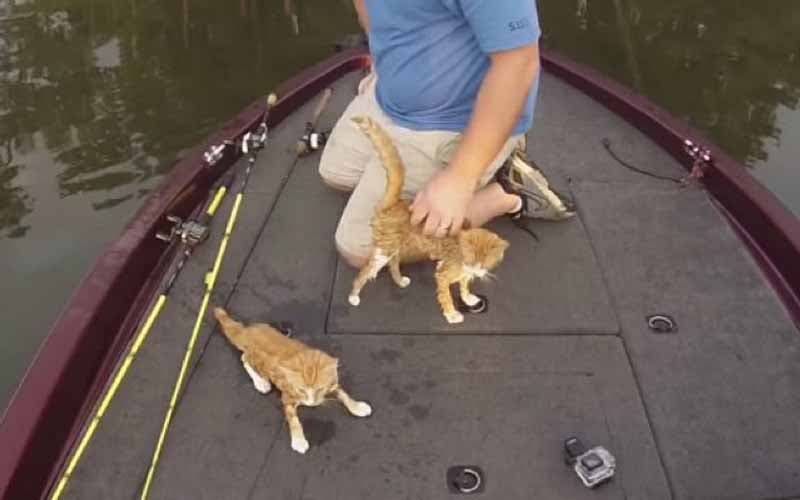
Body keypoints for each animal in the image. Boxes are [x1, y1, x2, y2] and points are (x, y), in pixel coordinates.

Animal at [214, 306, 374, 456]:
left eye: (320, 389)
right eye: (301, 390)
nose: (311, 404)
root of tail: (247, 331)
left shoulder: (332, 384)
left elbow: (344, 394)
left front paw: (357, 407)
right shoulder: (287, 397)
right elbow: (293, 420)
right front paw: (298, 441)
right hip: (257, 361)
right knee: (244, 359)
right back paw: (261, 382)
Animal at [346, 114, 510, 322]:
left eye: (486, 262)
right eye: (471, 258)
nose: (477, 270)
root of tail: (396, 203)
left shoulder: (462, 272)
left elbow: (464, 285)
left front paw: (468, 298)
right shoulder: (444, 273)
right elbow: (446, 295)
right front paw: (452, 315)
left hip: (398, 246)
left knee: (393, 263)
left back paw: (399, 280)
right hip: (384, 249)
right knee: (366, 271)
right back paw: (354, 295)